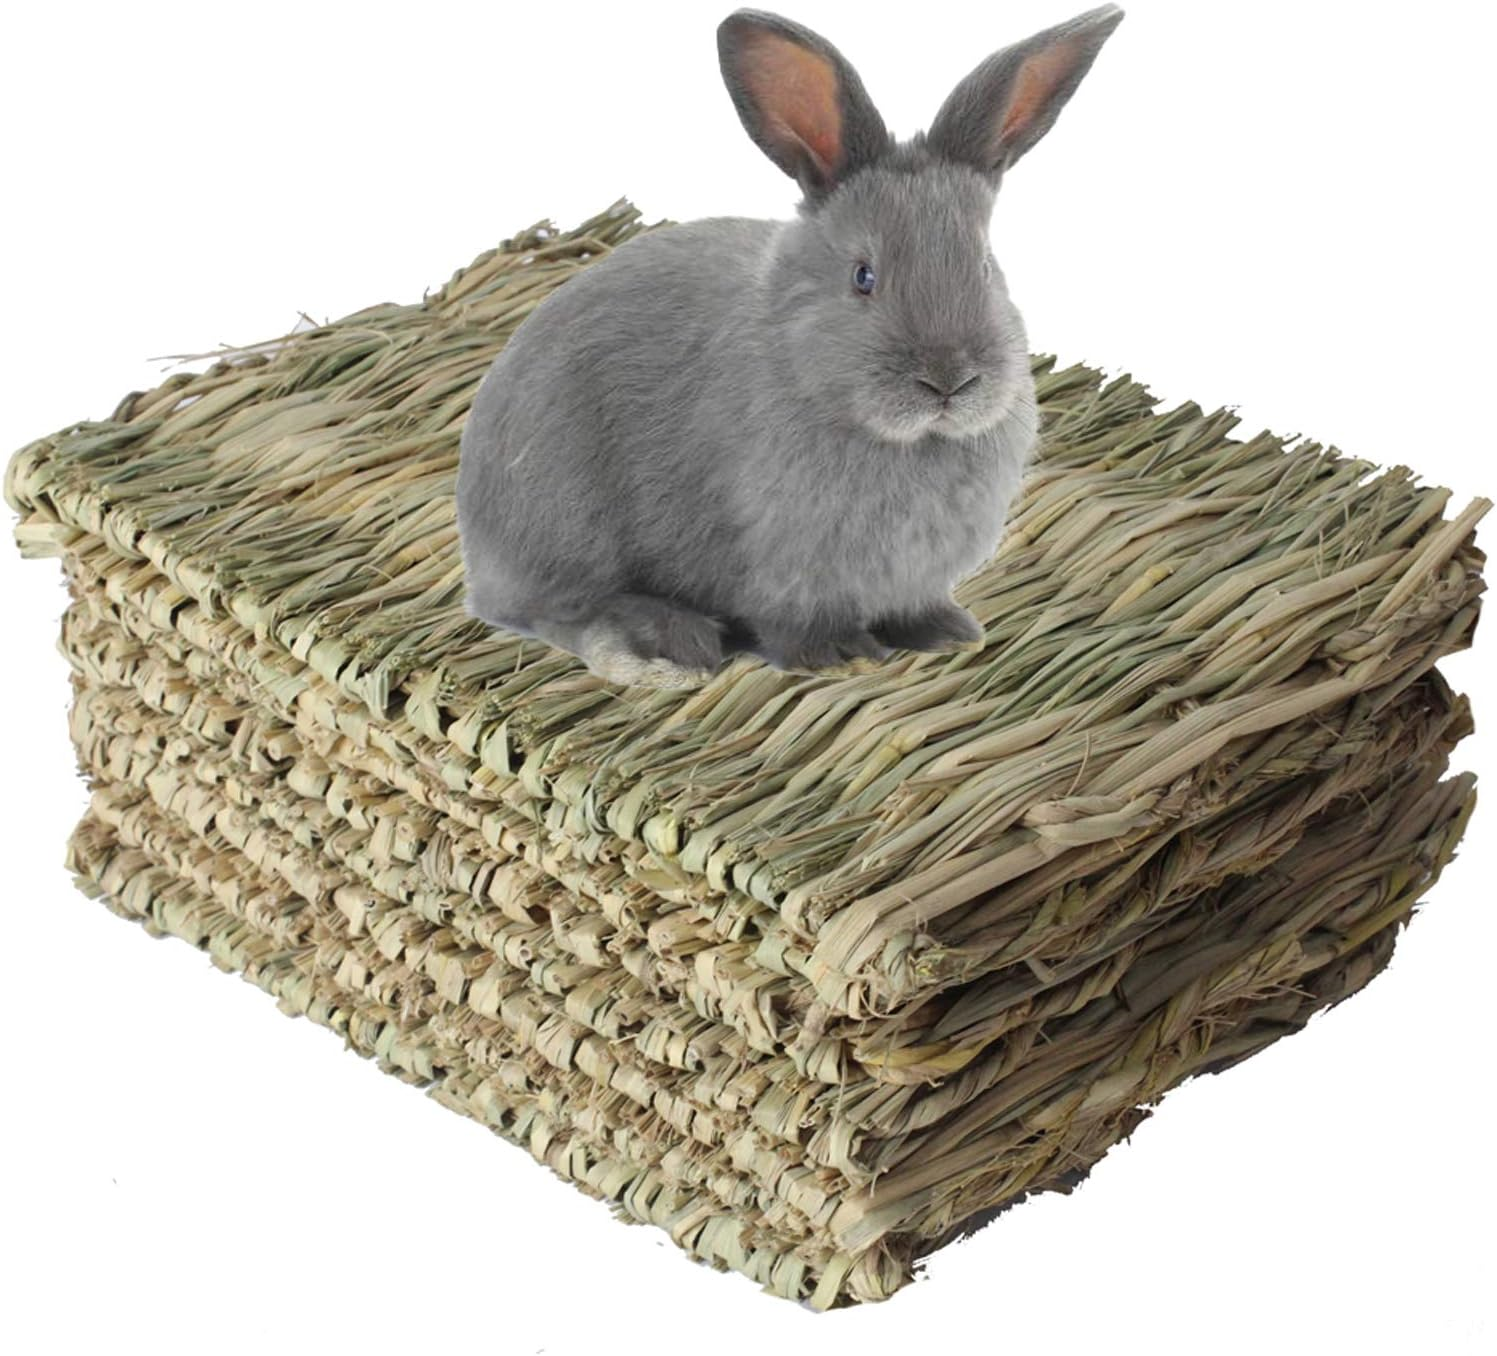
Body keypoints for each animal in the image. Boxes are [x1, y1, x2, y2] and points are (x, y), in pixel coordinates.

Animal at [457, 5, 1125, 687]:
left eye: (987, 267)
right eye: (863, 276)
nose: (949, 381)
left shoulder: (913, 576)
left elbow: (915, 607)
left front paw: (947, 633)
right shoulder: (785, 565)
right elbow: (794, 619)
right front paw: (843, 655)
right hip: (565, 526)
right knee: (554, 611)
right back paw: (661, 644)